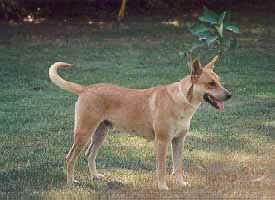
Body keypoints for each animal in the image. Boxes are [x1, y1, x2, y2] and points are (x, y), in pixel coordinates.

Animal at [49, 55, 231, 190]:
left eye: (219, 81)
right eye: (211, 83)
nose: (229, 95)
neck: (180, 100)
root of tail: (85, 89)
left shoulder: (179, 141)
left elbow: (178, 166)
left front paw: (181, 184)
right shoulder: (162, 141)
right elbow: (162, 167)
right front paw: (163, 187)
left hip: (101, 133)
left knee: (89, 154)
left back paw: (95, 176)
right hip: (84, 133)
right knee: (70, 158)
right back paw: (71, 183)